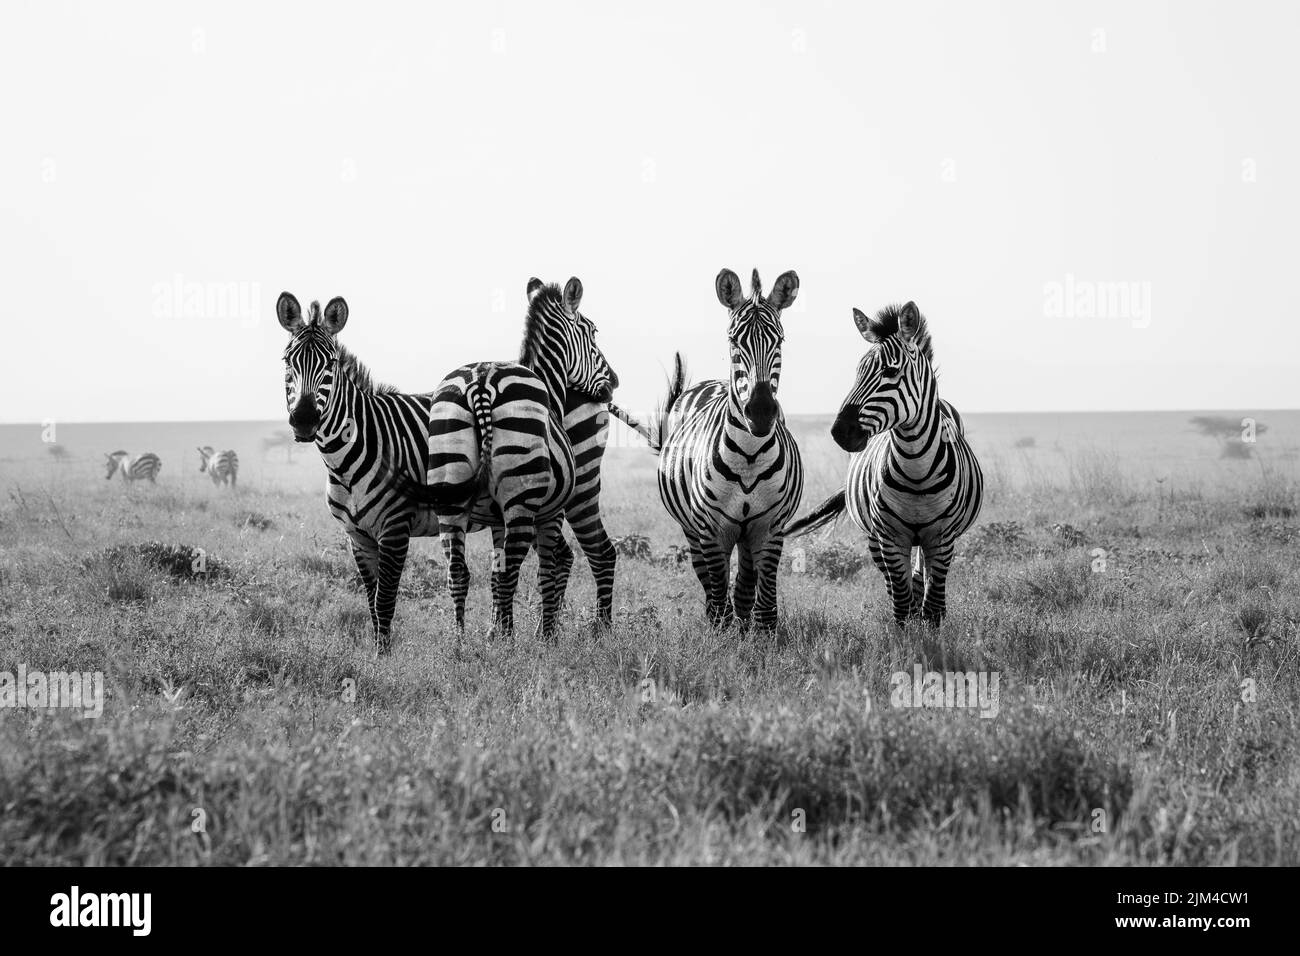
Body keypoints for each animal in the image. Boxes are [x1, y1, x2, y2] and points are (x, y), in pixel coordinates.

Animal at [639, 267, 800, 634]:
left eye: (780, 340)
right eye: (733, 341)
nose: (760, 412)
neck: (749, 457)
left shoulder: (770, 528)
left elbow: (762, 600)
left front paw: (760, 637)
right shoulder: (711, 530)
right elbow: (717, 592)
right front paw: (723, 636)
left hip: (744, 533)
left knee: (743, 583)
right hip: (692, 529)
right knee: (709, 582)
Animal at [780, 300, 982, 629]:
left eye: (890, 371)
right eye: (858, 371)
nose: (840, 432)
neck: (917, 470)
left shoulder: (941, 538)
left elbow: (933, 607)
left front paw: (932, 638)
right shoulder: (889, 537)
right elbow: (901, 604)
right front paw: (907, 640)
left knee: (921, 578)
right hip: (875, 538)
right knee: (897, 585)